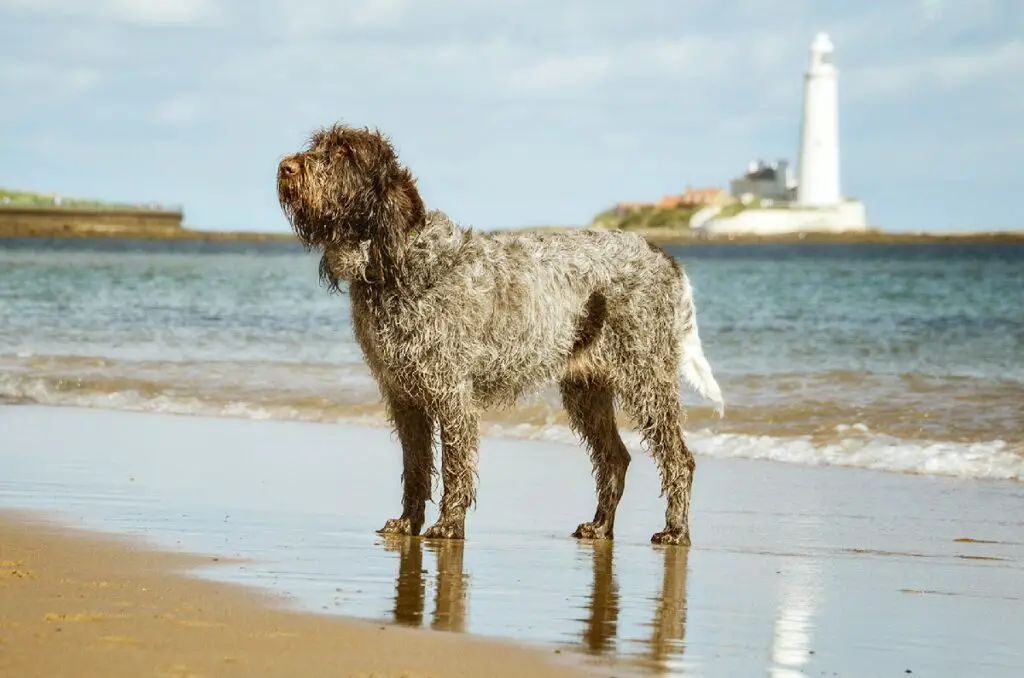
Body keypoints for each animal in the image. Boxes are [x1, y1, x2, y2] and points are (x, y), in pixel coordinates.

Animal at [272, 122, 720, 548]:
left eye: (343, 153)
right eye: (317, 145)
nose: (285, 167)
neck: (400, 261)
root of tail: (665, 258)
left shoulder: (452, 395)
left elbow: (454, 467)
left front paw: (449, 526)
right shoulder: (406, 397)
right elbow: (415, 469)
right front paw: (407, 524)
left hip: (646, 380)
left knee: (679, 459)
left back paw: (675, 530)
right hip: (587, 390)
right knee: (614, 458)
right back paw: (599, 527)